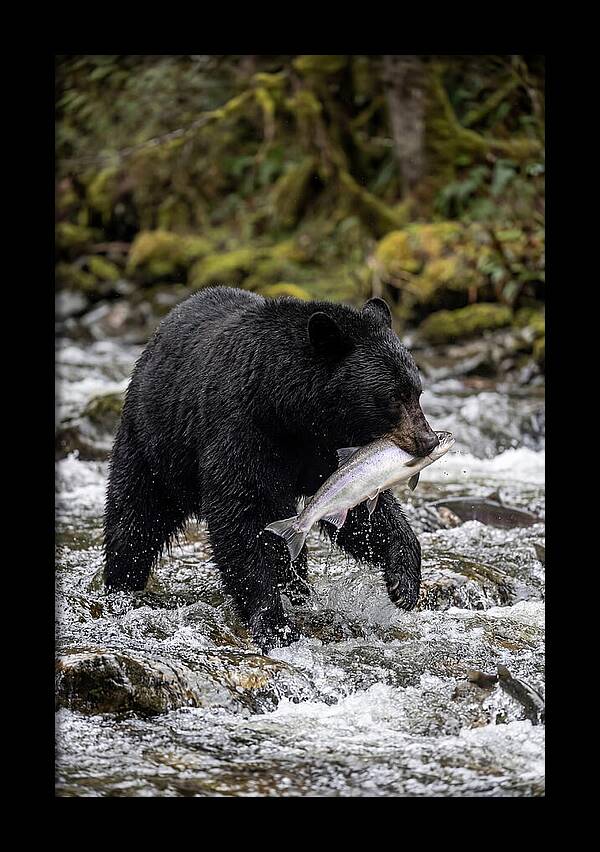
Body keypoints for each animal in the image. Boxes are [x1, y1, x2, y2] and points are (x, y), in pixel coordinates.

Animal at [103, 287, 439, 650]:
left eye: (417, 392)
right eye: (393, 397)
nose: (429, 440)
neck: (288, 409)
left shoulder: (327, 448)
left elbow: (357, 508)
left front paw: (404, 582)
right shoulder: (241, 429)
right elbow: (240, 516)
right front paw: (273, 623)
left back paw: (299, 590)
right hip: (154, 444)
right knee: (134, 517)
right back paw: (121, 586)